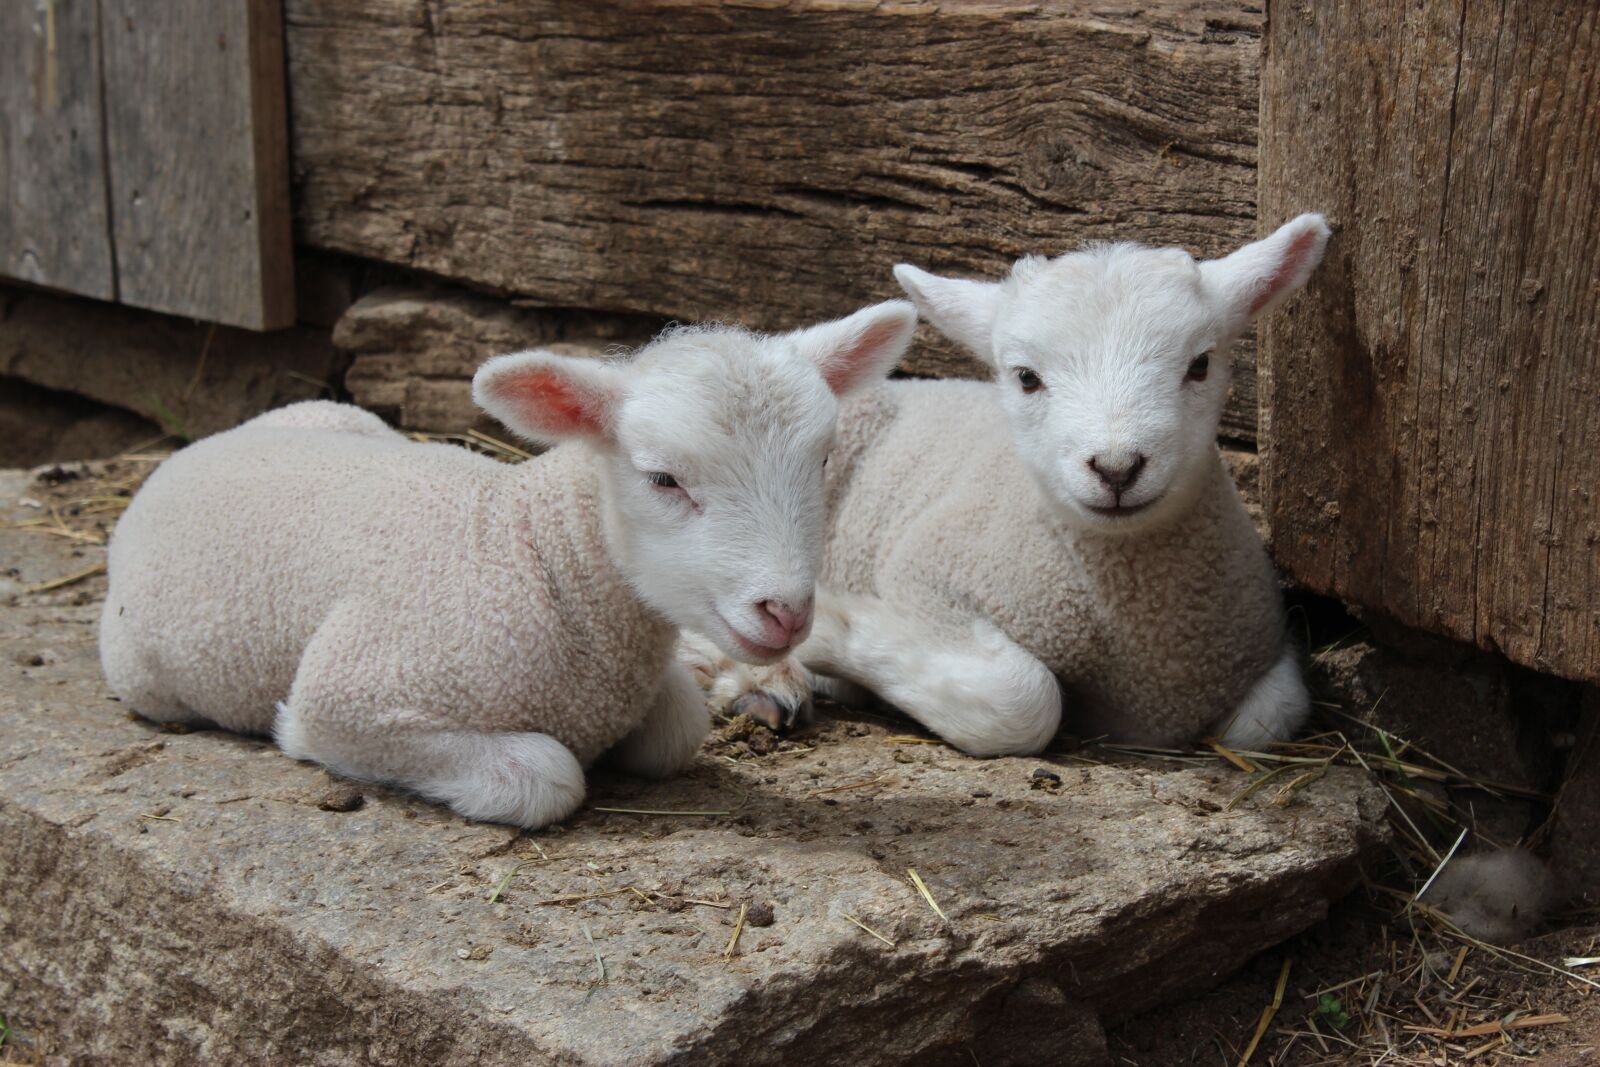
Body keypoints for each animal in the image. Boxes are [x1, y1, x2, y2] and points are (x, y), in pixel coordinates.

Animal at [99, 302, 917, 828]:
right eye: (662, 478)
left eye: (822, 460)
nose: (786, 610)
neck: (530, 552)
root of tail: (197, 446)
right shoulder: (347, 697)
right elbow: (549, 775)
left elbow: (677, 728)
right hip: (145, 676)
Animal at [684, 216, 1330, 756]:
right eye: (1026, 377)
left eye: (1200, 364)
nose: (1117, 468)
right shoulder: (926, 576)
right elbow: (1025, 704)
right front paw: (834, 629)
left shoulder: (1261, 649)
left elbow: (1266, 721)